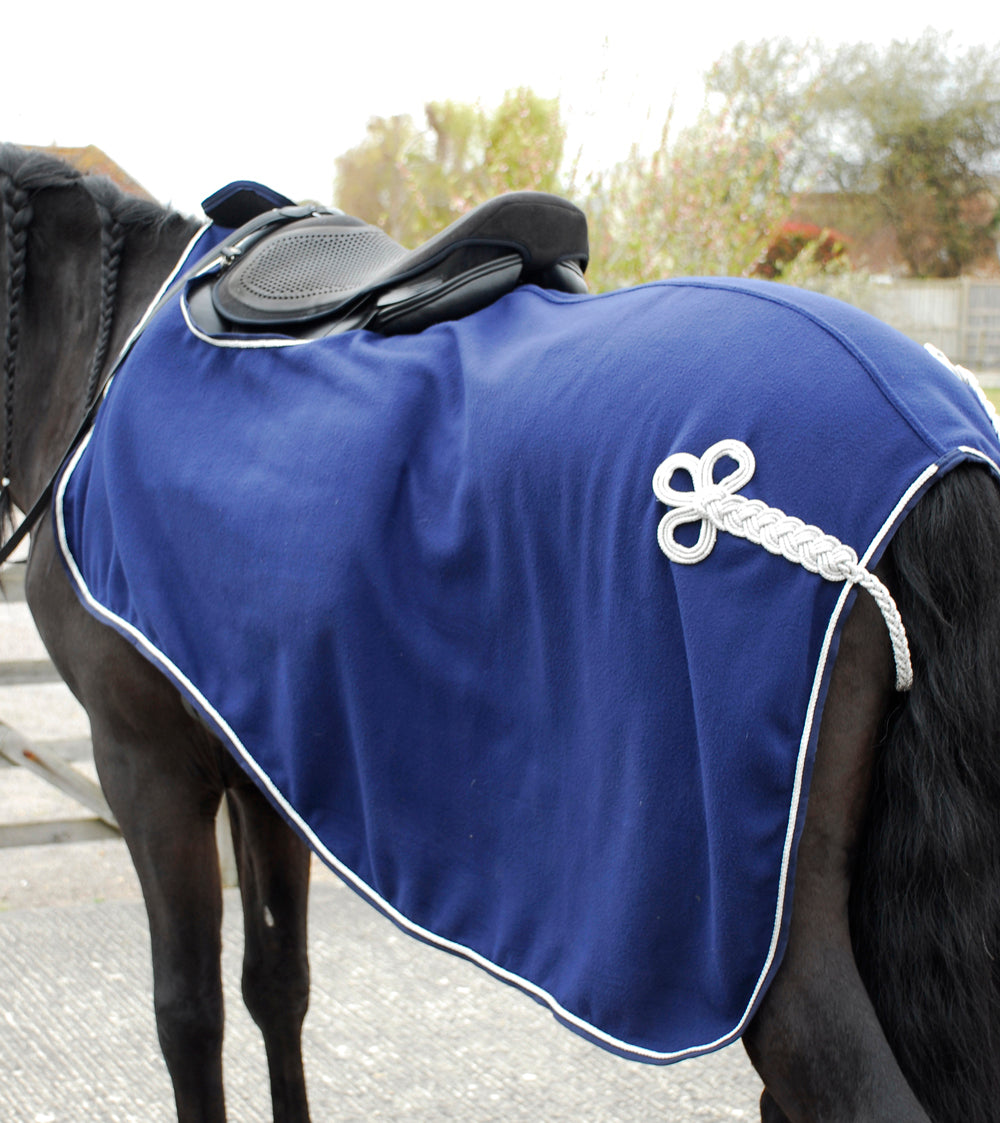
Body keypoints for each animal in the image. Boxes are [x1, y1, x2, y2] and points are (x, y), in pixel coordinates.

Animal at [3, 142, 1000, 1123]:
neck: (104, 356)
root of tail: (940, 445)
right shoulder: (256, 751)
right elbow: (277, 986)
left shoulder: (145, 758)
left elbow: (187, 1014)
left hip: (790, 977)